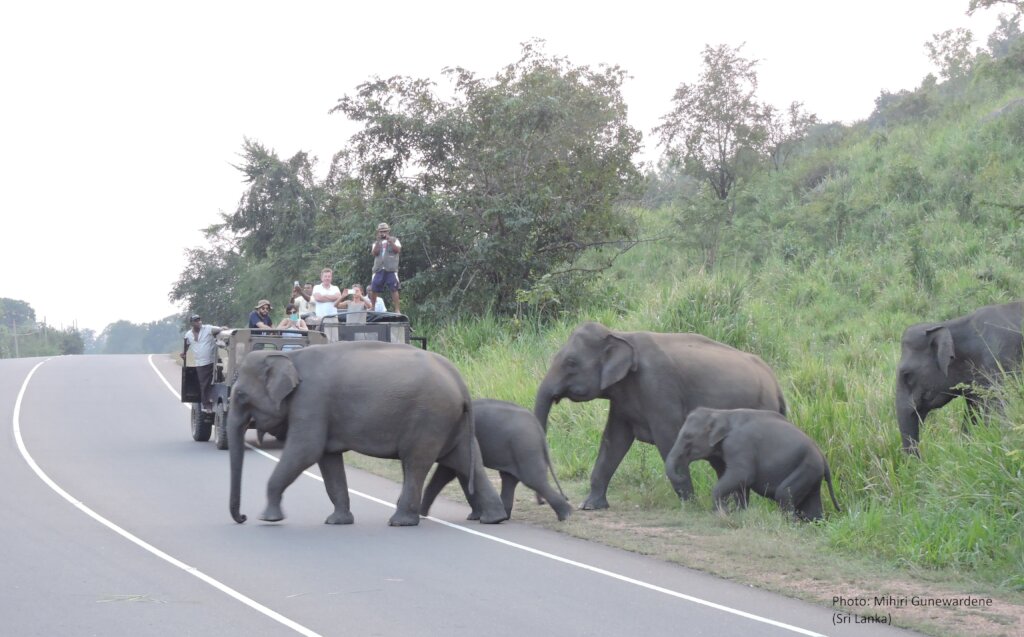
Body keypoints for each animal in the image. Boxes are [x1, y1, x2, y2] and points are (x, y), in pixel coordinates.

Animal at [227, 341, 508, 526]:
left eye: (240, 395)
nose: (243, 517)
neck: (289, 356)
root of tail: (460, 383)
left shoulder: (311, 401)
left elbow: (306, 450)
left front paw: (268, 518)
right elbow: (328, 459)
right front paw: (337, 521)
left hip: (431, 417)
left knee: (416, 462)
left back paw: (400, 522)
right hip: (452, 421)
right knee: (465, 460)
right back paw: (494, 519)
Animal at [420, 399, 572, 521]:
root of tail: (539, 429)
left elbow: (453, 473)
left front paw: (473, 517)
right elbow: (447, 473)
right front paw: (422, 513)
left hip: (525, 447)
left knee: (533, 480)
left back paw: (566, 515)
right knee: (510, 479)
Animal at [534, 321, 786, 509]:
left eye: (571, 363)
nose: (544, 501)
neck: (620, 334)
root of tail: (776, 385)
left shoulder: (658, 388)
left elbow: (667, 438)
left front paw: (690, 507)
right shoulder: (622, 398)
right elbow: (614, 440)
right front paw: (590, 506)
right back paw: (737, 510)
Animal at [665, 407, 840, 521]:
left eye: (688, 437)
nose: (681, 475)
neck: (722, 413)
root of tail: (823, 458)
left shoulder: (739, 445)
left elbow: (743, 476)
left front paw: (719, 513)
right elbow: (740, 486)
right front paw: (737, 513)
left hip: (806, 467)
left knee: (784, 494)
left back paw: (789, 525)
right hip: (812, 473)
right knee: (812, 505)